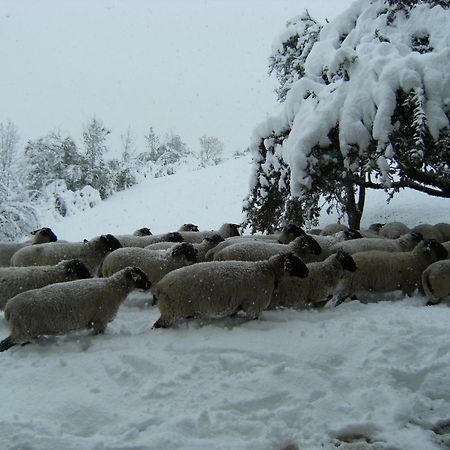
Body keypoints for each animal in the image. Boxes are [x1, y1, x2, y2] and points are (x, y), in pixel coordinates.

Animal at [0, 266, 151, 354]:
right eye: (142, 276)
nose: (150, 285)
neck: (113, 288)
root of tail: (8, 308)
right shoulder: (100, 320)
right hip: (22, 330)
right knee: (5, 344)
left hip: (27, 331)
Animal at [152, 251, 310, 328]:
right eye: (295, 261)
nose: (307, 272)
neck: (270, 272)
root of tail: (160, 286)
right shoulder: (254, 305)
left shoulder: (239, 302)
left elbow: (233, 312)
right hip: (171, 309)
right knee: (159, 325)